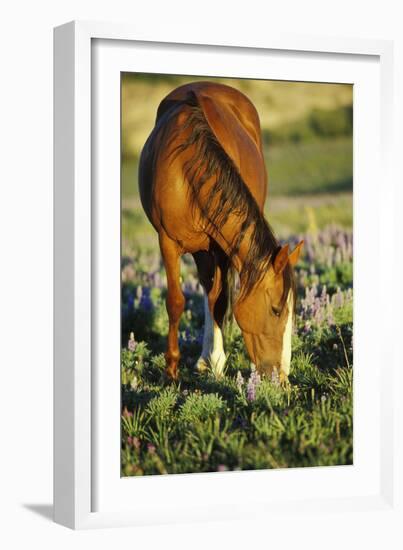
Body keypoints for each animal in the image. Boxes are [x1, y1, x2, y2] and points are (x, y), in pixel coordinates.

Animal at [139, 82, 304, 384]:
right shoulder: (167, 242)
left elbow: (219, 301)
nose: (282, 378)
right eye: (276, 310)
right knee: (206, 287)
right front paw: (171, 372)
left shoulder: (220, 247)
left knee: (212, 291)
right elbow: (176, 302)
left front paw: (216, 362)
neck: (187, 170)